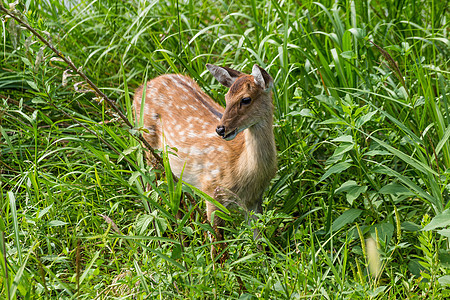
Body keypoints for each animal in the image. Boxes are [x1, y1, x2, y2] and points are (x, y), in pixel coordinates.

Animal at [132, 63, 276, 258]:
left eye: (246, 99)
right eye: (226, 97)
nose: (221, 129)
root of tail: (139, 89)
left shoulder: (254, 199)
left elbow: (260, 242)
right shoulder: (211, 190)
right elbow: (218, 247)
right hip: (149, 146)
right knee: (150, 190)